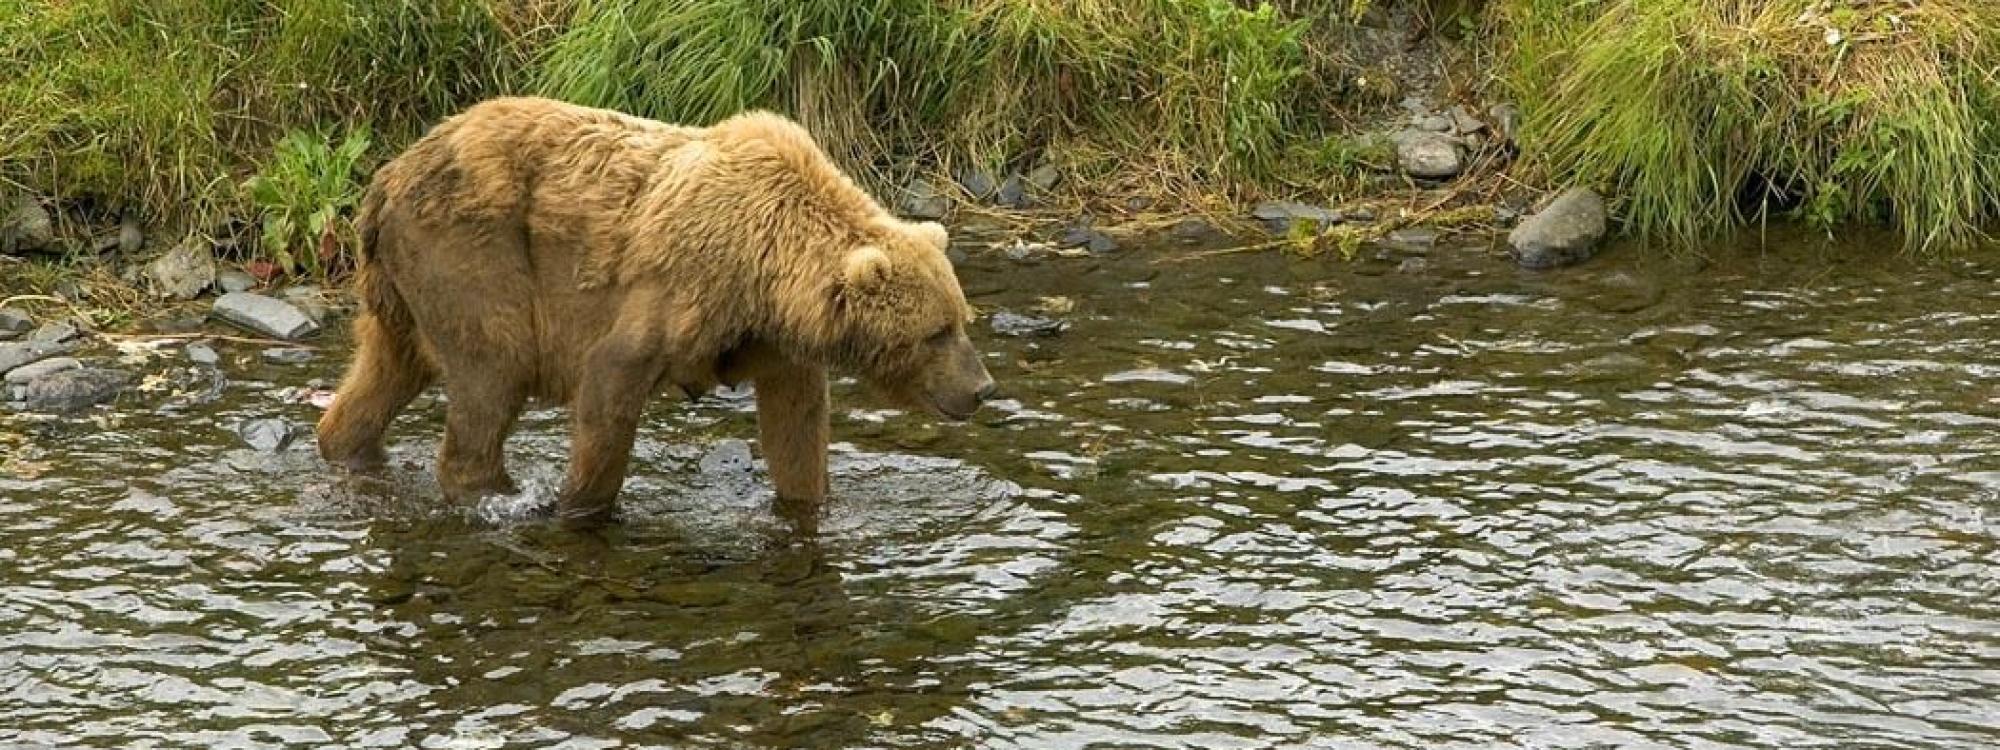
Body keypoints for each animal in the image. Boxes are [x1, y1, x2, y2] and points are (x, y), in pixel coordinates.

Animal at [313, 96, 996, 524]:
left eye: (961, 320)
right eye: (936, 332)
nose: (982, 388)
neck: (768, 270)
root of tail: (386, 179)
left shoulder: (770, 339)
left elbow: (796, 423)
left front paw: (809, 502)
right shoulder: (679, 290)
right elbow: (609, 388)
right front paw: (581, 505)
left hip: (400, 289)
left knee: (384, 371)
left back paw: (345, 444)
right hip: (471, 257)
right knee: (492, 368)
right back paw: (494, 490)